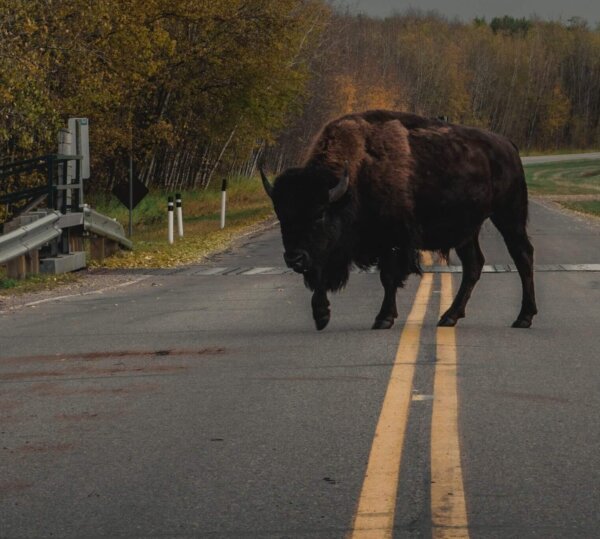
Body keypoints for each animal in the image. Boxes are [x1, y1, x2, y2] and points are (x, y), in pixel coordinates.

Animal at [260, 109, 536, 330]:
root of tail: (508, 145)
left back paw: (523, 317)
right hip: (467, 231)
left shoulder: (392, 241)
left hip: (509, 215)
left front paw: (383, 318)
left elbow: (388, 278)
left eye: (319, 213)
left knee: (522, 255)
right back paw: (449, 316)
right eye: (282, 215)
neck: (355, 178)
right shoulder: (328, 251)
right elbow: (320, 275)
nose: (293, 258)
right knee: (474, 265)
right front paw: (321, 316)